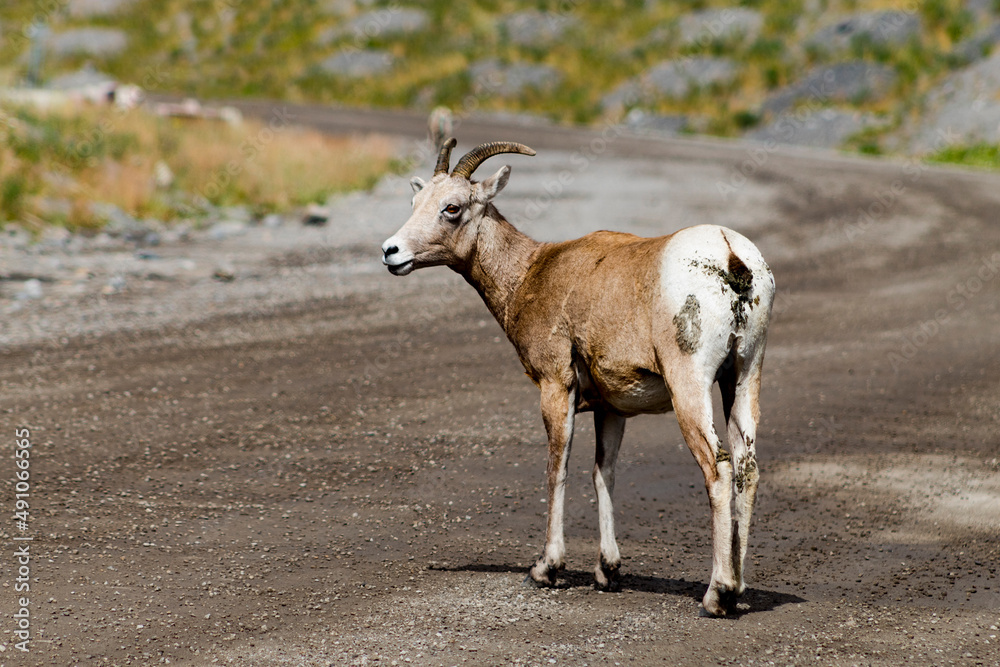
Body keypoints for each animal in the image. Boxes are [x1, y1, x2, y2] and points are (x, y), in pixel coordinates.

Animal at [381, 138, 775, 616]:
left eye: (452, 208)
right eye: (415, 202)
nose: (391, 252)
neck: (531, 273)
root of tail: (730, 255)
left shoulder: (556, 387)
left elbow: (558, 469)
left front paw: (545, 570)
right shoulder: (611, 408)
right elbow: (603, 473)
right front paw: (608, 572)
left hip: (691, 387)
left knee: (718, 468)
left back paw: (717, 595)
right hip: (744, 376)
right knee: (747, 467)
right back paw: (740, 590)